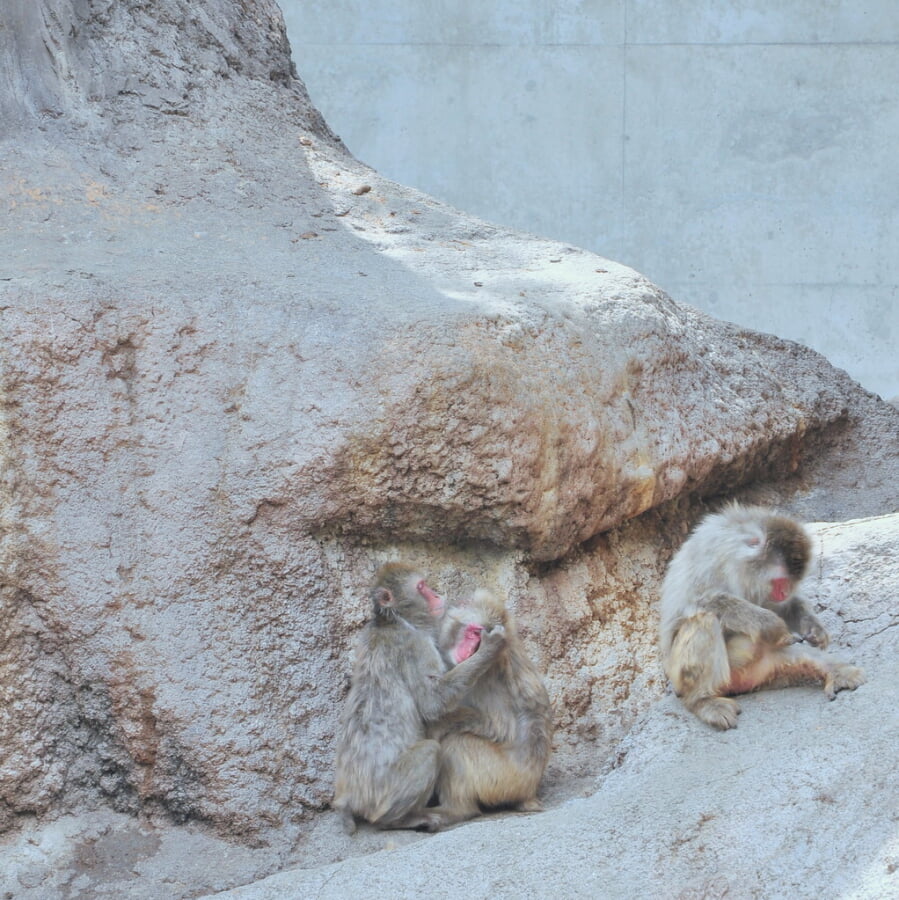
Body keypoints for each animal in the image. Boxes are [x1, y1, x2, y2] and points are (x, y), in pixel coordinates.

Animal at [336, 560, 510, 832]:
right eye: (421, 587)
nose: (437, 594)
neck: (393, 620)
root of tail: (349, 796)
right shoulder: (415, 645)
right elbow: (432, 701)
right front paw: (490, 648)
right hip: (382, 792)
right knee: (430, 751)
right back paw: (399, 819)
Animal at [430, 588, 556, 828]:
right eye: (474, 633)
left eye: (481, 640)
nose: (471, 652)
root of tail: (530, 791)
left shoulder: (487, 673)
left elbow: (498, 726)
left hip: (504, 777)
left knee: (457, 744)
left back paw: (456, 811)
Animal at [660, 506, 864, 732]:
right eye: (780, 581)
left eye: (792, 581)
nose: (784, 592)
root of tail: (737, 684)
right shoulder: (709, 557)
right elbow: (701, 601)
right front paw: (772, 626)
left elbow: (784, 607)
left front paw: (814, 628)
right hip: (680, 675)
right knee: (704, 620)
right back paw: (702, 700)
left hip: (766, 669)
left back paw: (835, 672)